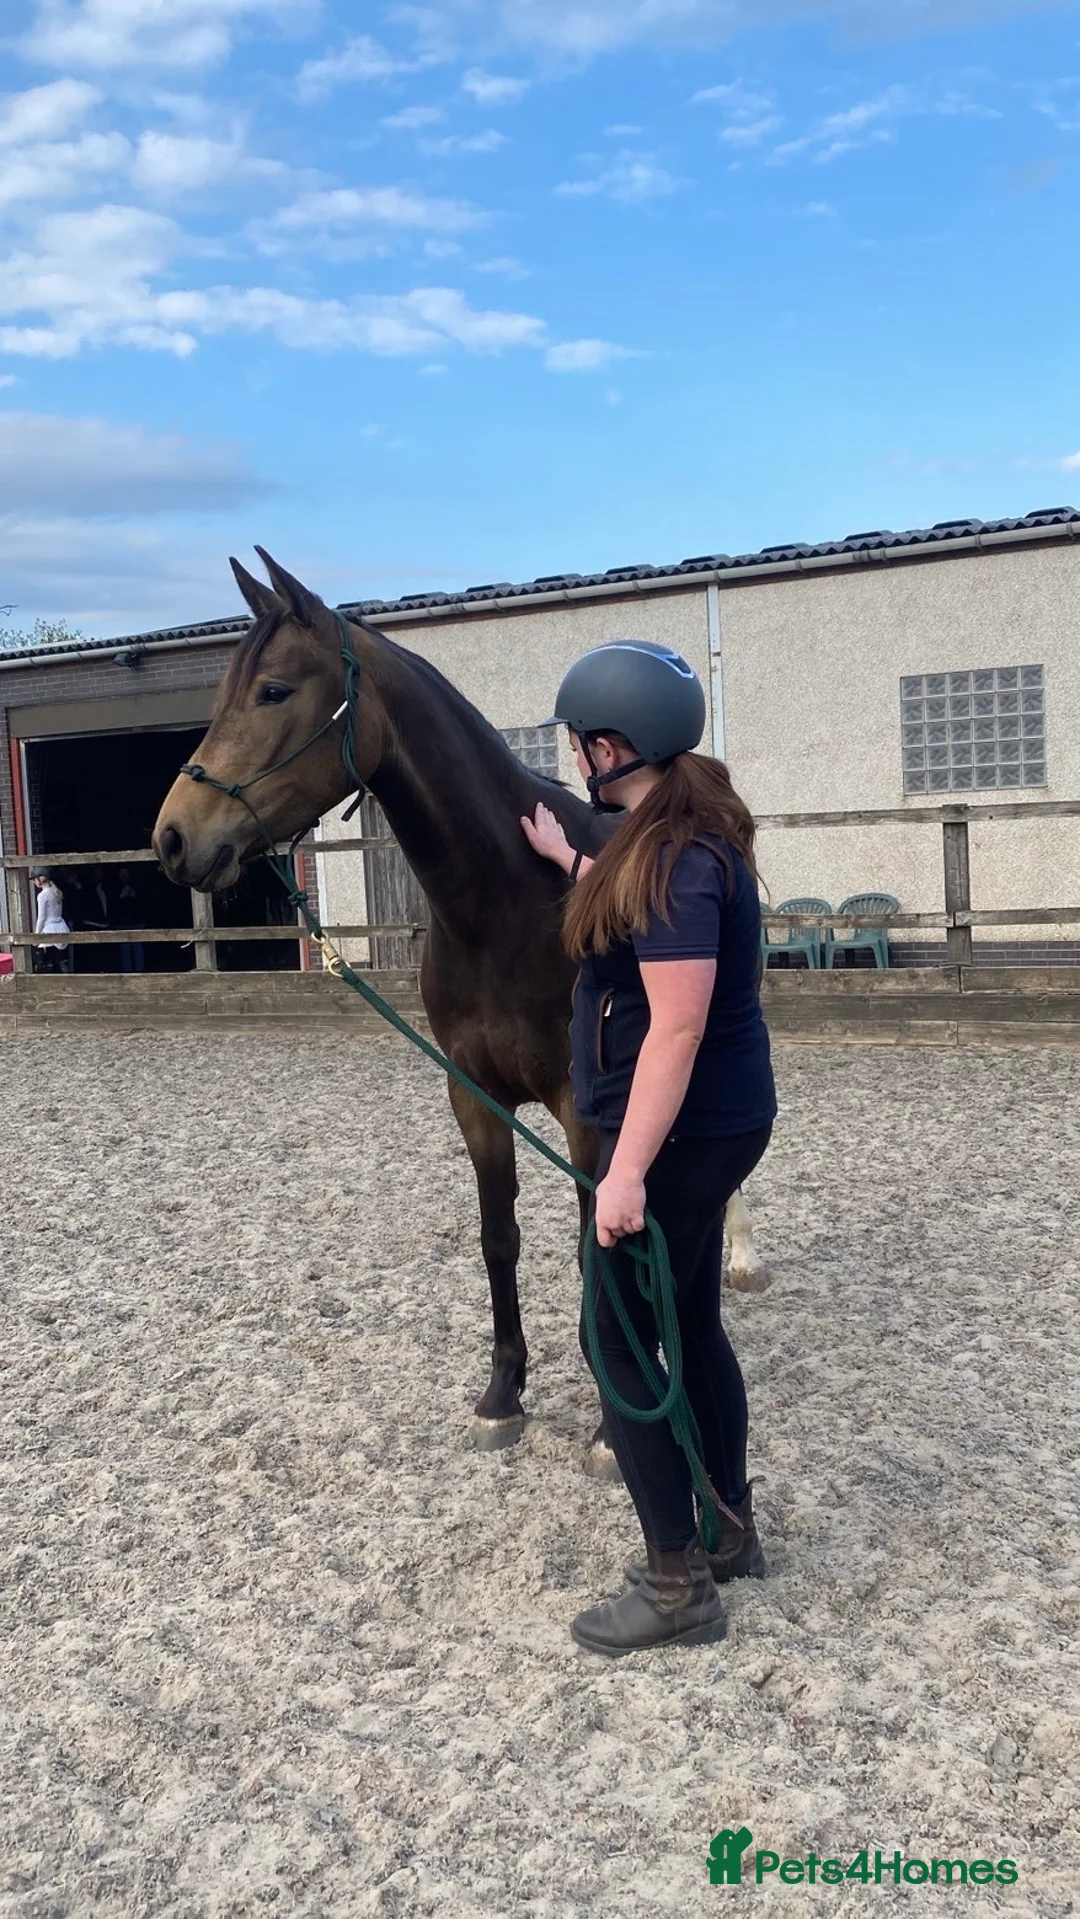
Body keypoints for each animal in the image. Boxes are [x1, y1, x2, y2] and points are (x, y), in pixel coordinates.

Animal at [152, 551, 767, 1472]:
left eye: (272, 690)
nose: (172, 837)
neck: (508, 901)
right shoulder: (471, 1097)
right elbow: (498, 1237)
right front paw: (503, 1393)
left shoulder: (585, 1113)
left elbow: (594, 1246)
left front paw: (607, 1423)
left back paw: (743, 1258)